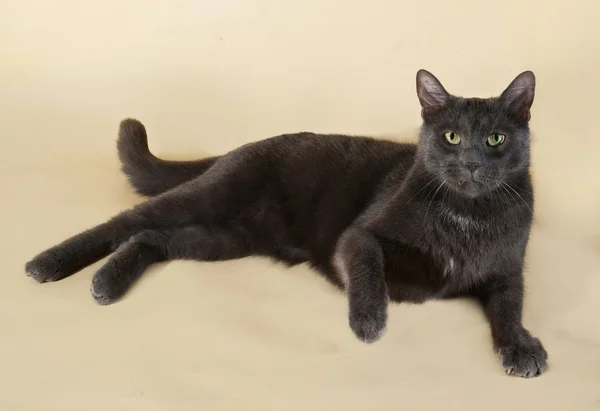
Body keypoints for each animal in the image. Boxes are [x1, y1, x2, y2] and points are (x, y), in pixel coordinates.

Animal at [24, 69, 548, 378]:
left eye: (496, 139)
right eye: (452, 137)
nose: (472, 163)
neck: (468, 214)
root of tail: (237, 148)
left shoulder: (508, 269)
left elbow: (510, 306)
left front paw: (520, 347)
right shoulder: (358, 234)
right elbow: (368, 262)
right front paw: (368, 319)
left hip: (227, 237)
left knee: (152, 237)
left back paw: (109, 281)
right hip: (214, 195)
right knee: (126, 220)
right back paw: (51, 264)